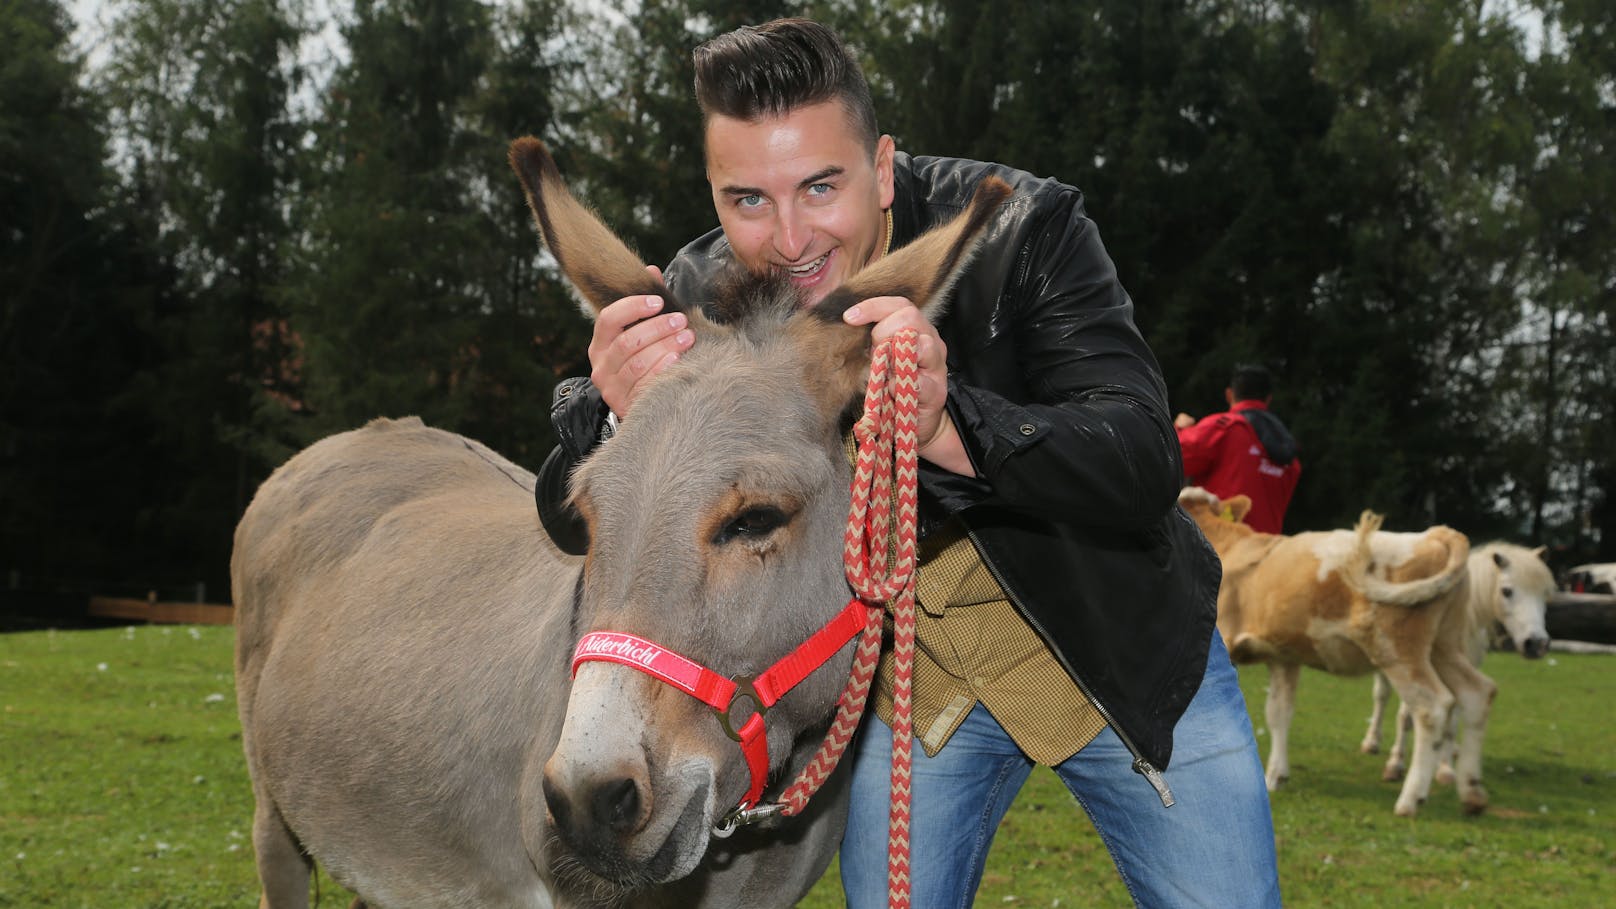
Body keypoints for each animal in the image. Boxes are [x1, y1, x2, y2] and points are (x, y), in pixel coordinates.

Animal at [1176, 488, 1499, 815]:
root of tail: (1436, 534)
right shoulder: (1283, 656)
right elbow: (1278, 713)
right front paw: (1275, 776)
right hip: (1446, 646)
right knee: (1477, 693)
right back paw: (1472, 792)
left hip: (1397, 647)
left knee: (1431, 707)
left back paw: (1411, 799)